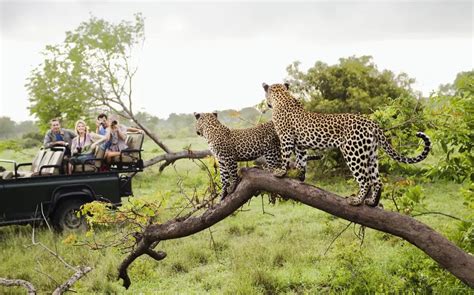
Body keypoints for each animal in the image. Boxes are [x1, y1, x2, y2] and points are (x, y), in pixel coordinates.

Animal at [262, 82, 432, 208]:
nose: (267, 104)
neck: (283, 97)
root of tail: (372, 123)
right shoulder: (300, 144)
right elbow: (301, 160)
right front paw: (300, 176)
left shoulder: (286, 137)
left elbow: (285, 156)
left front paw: (281, 172)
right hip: (371, 154)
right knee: (377, 180)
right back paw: (372, 202)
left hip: (353, 152)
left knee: (365, 180)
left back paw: (357, 201)